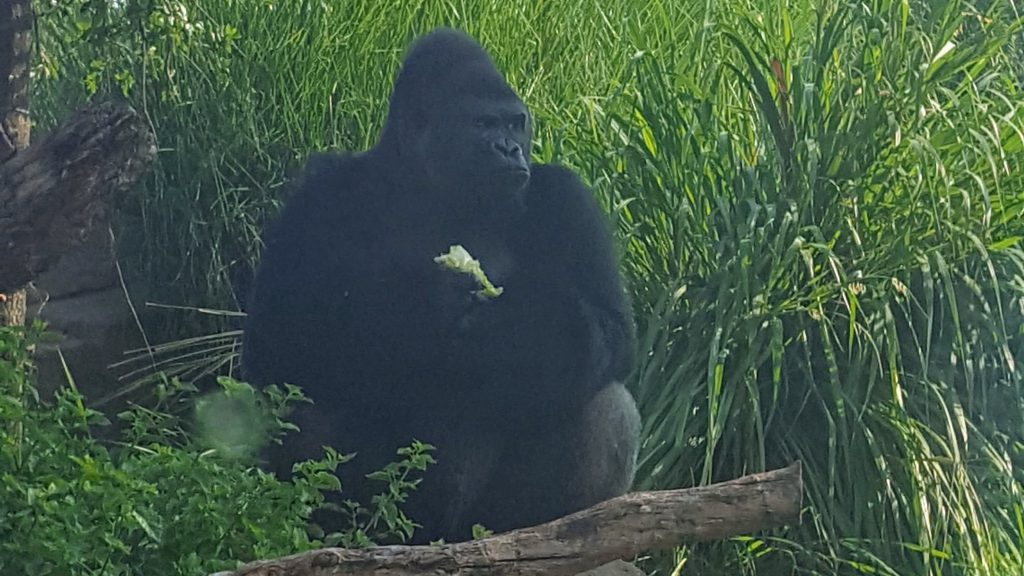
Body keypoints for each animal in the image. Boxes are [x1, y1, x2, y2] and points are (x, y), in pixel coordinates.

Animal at [241, 25, 638, 537]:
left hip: (477, 523)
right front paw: (422, 303)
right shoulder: (316, 192)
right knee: (296, 400)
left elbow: (610, 333)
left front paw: (517, 324)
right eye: (483, 124)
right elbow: (275, 337)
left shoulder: (569, 197)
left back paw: (551, 528)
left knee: (604, 401)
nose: (510, 149)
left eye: (515, 125)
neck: (426, 185)